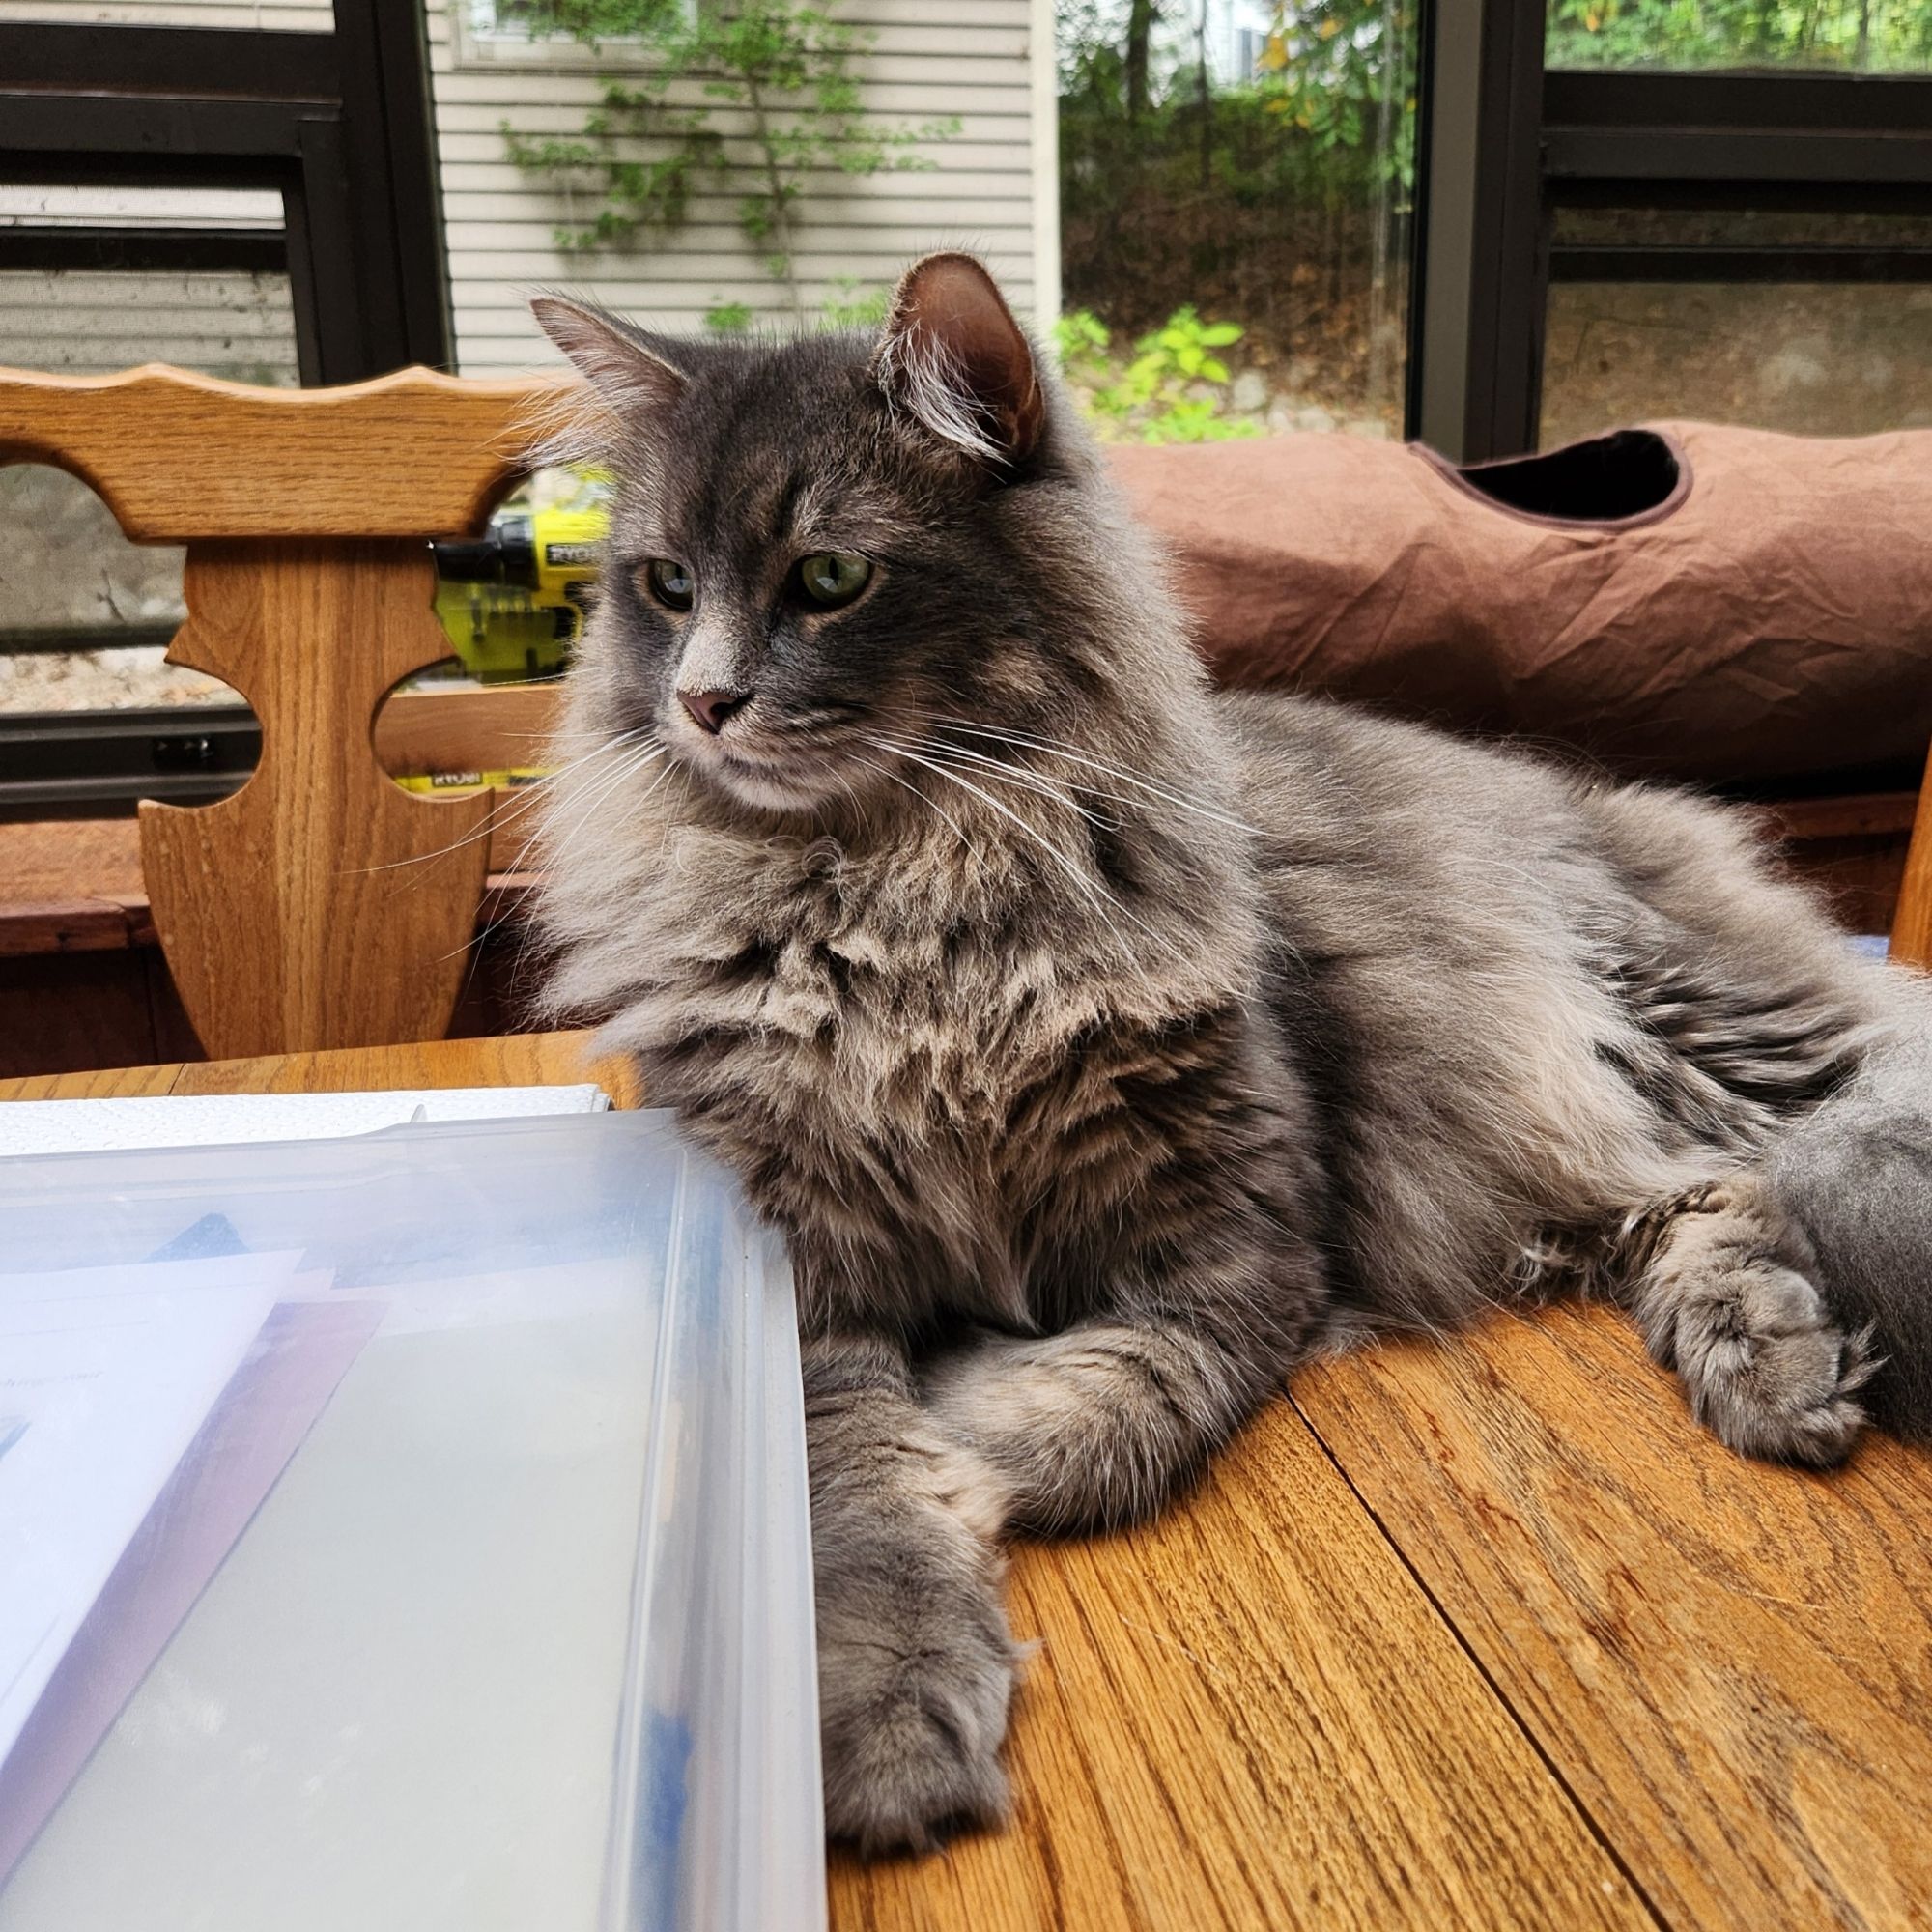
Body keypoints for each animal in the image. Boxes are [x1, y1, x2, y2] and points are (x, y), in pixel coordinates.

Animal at [526, 253, 1932, 1855]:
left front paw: (976, 1425)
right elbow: (854, 1494)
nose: (701, 701)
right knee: (1710, 1194)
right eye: (664, 589)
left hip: (1686, 1022)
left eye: (827, 579)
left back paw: (1786, 1360)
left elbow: (1110, 1407)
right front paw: (884, 1703)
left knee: (1810, 1124)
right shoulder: (810, 1275)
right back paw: (1778, 1368)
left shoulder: (1246, 1240)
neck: (898, 911)